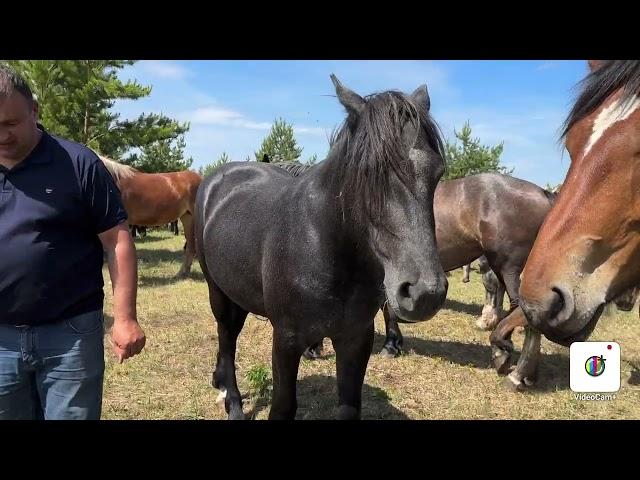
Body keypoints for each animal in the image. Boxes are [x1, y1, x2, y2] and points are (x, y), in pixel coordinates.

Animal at [198, 76, 448, 420]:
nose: (425, 294)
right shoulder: (286, 339)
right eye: (366, 171)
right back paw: (232, 402)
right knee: (227, 336)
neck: (323, 247)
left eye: (437, 172)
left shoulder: (355, 339)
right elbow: (283, 406)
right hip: (217, 290)